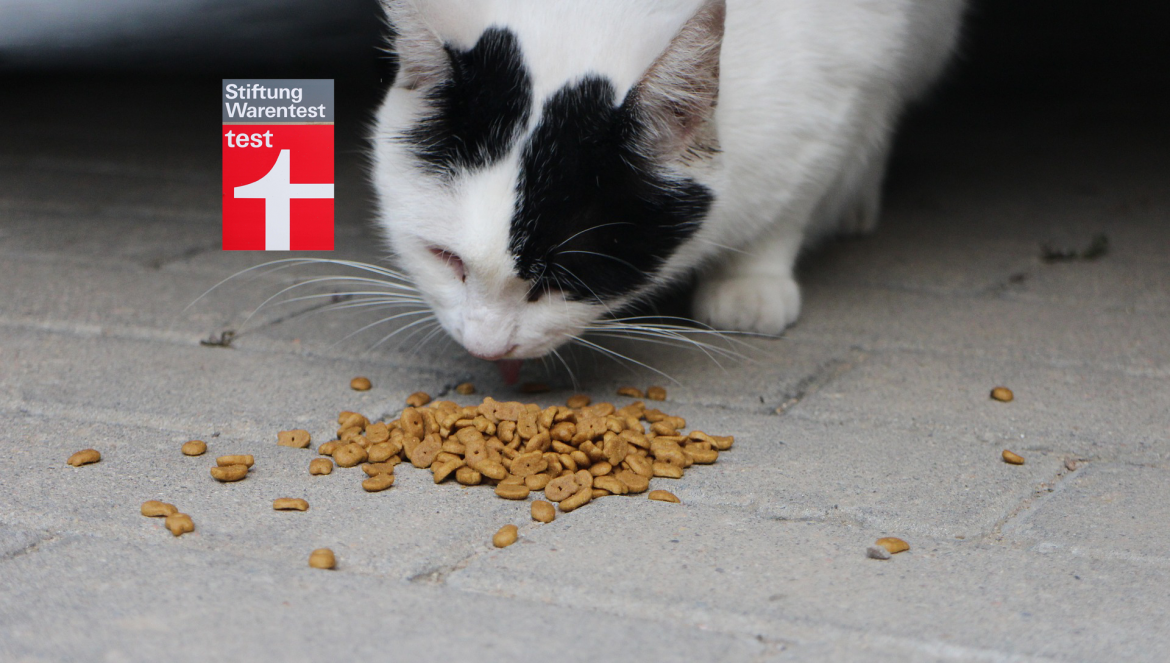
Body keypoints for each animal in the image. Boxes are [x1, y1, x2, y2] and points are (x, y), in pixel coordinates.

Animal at [370, 0, 966, 373]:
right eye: (446, 259)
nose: (487, 349)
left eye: (563, 280)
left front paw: (752, 278)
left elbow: (795, 197)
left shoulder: (844, 79)